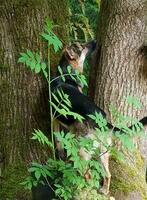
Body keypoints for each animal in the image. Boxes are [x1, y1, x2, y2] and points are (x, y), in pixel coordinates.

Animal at [50, 40, 147, 195]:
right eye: (82, 47)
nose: (94, 41)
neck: (66, 73)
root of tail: (104, 123)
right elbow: (59, 138)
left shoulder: (55, 119)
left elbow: (57, 137)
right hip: (102, 152)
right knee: (107, 174)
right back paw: (103, 190)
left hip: (83, 152)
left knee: (88, 175)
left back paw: (83, 190)